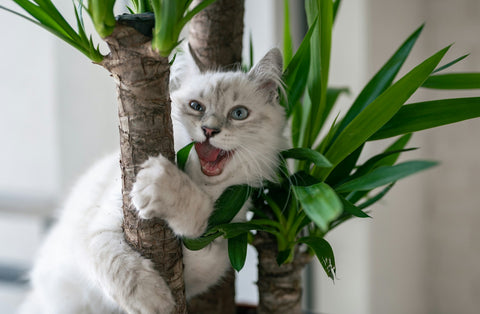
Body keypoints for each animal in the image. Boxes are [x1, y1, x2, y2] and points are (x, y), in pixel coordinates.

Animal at [19, 47, 284, 314]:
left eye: (239, 114)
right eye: (196, 106)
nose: (209, 130)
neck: (201, 186)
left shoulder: (214, 250)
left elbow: (197, 219)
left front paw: (163, 186)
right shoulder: (96, 230)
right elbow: (120, 267)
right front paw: (155, 302)